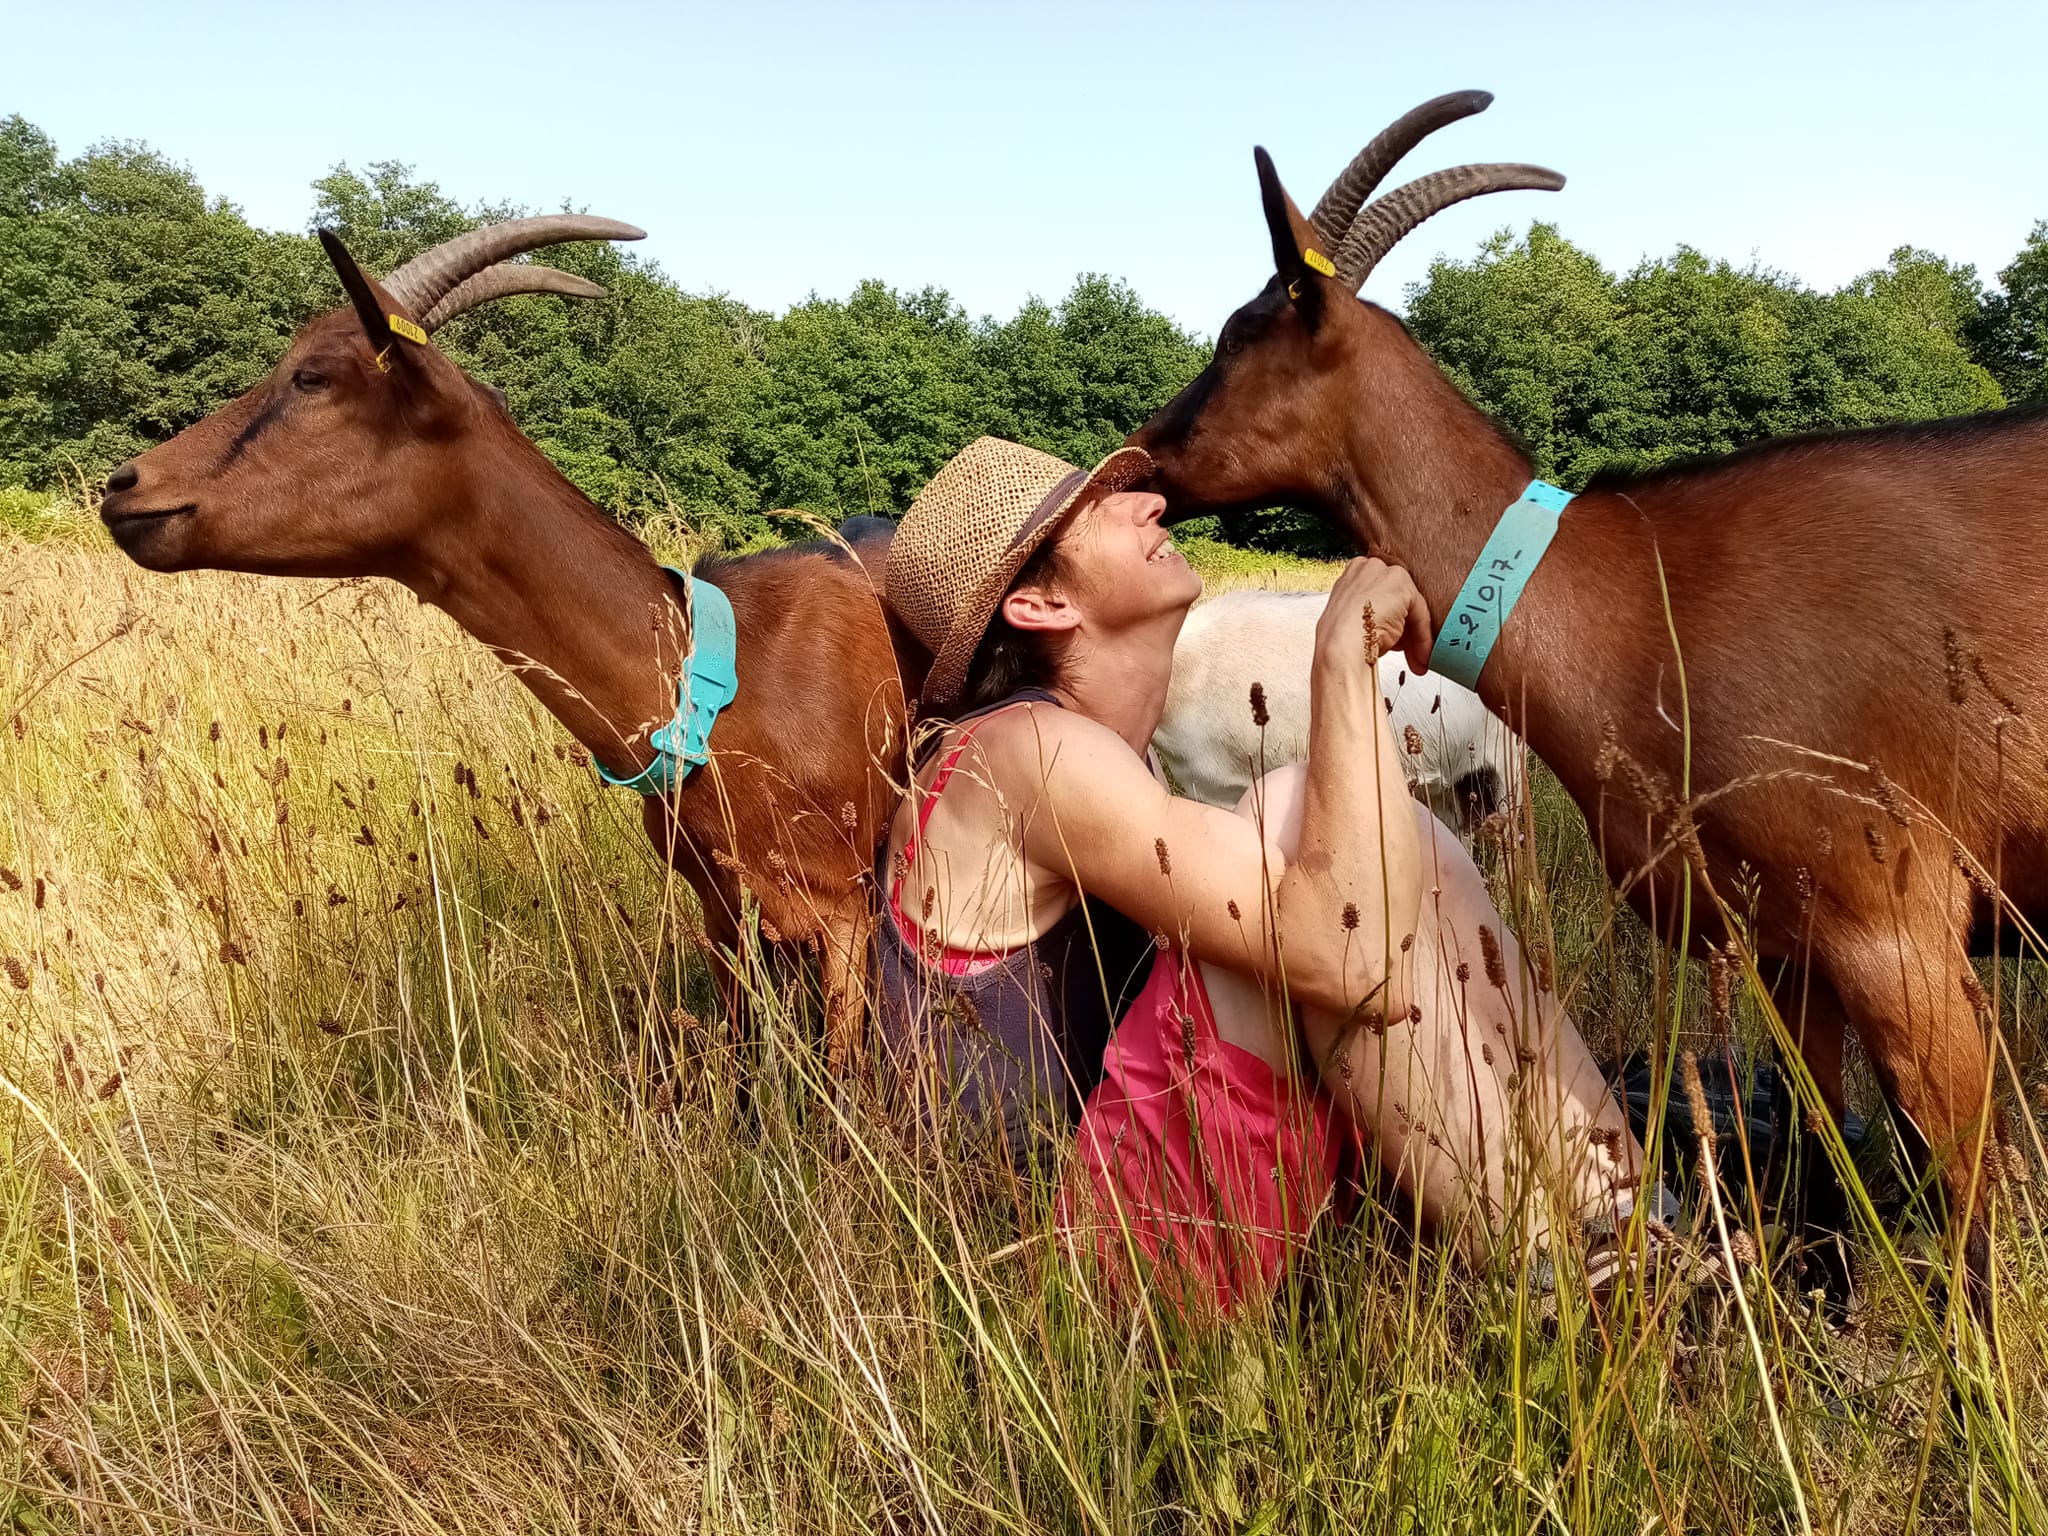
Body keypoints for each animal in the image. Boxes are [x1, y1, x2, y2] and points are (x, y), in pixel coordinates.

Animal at [96, 219, 913, 1081]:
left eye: (312, 376)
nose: (124, 485)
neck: (721, 689)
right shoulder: (720, 912)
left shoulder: (844, 911)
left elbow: (843, 1076)